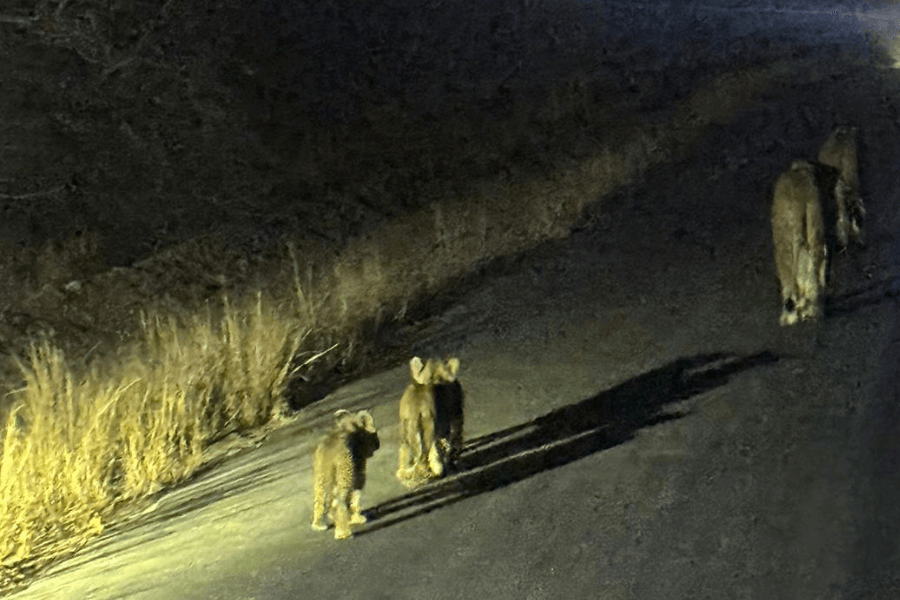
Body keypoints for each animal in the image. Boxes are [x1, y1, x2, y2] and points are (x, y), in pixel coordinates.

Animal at [311, 409, 380, 540]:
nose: (378, 445)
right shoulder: (358, 472)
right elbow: (355, 496)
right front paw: (356, 518)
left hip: (321, 480)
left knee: (320, 502)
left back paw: (318, 525)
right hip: (344, 475)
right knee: (338, 502)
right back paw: (342, 532)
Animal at [396, 356, 464, 488]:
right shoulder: (455, 416)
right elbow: (453, 441)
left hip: (405, 434)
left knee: (405, 462)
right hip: (431, 428)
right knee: (430, 454)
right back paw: (436, 472)